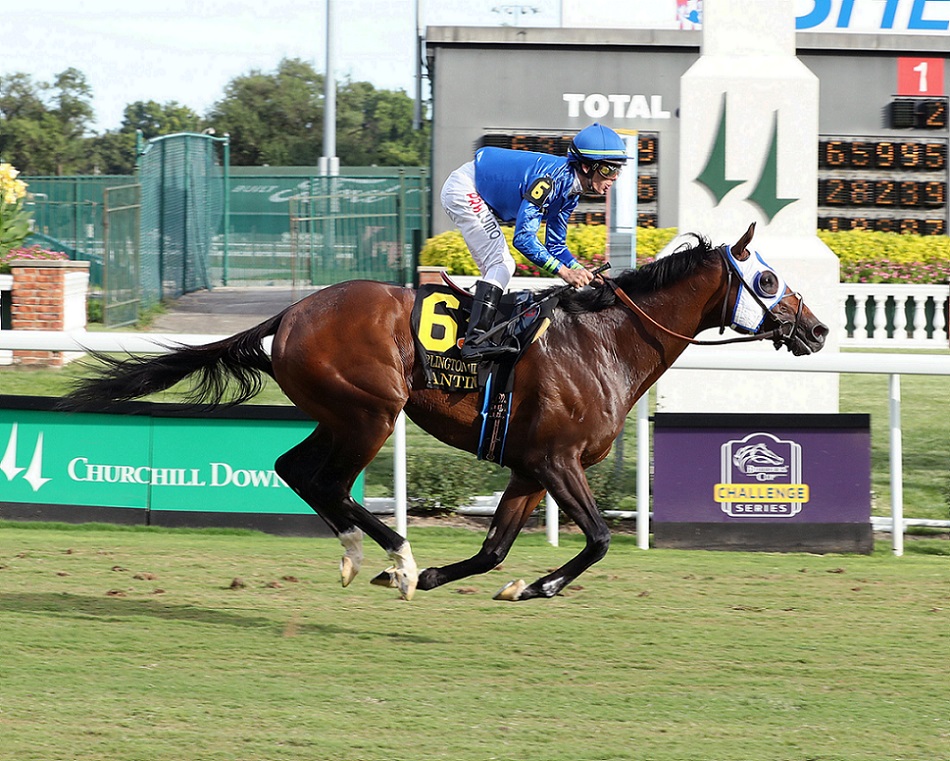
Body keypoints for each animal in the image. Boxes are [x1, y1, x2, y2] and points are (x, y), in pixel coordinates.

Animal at [64, 222, 828, 602]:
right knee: (326, 481)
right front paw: (538, 586)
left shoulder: (529, 468)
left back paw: (364, 557)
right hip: (372, 412)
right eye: (766, 278)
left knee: (296, 470)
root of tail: (293, 311)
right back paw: (395, 557)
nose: (817, 329)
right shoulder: (557, 461)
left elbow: (494, 552)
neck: (603, 342)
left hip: (340, 413)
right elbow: (599, 539)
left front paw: (472, 579)